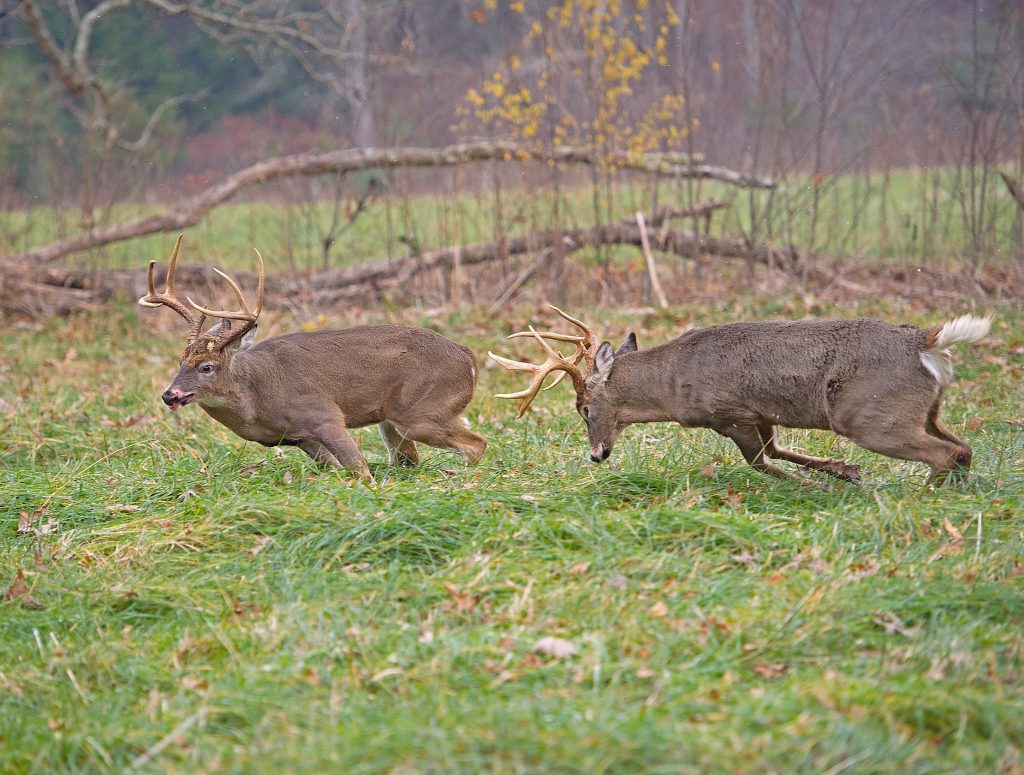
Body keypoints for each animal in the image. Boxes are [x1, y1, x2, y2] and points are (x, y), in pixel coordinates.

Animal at [138, 235, 485, 477]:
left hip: (419, 411)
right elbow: (337, 468)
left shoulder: (324, 414)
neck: (256, 400)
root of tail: (468, 359)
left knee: (477, 444)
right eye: (180, 361)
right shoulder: (298, 438)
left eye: (207, 367)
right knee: (409, 460)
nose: (170, 395)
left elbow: (360, 470)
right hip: (392, 419)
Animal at [491, 307, 987, 483]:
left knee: (945, 452)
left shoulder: (729, 413)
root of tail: (925, 341)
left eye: (583, 408)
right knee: (963, 447)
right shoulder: (757, 414)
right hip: (926, 409)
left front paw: (816, 485)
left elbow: (762, 461)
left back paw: (923, 494)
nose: (596, 455)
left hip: (870, 416)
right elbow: (777, 451)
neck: (674, 383)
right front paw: (843, 472)